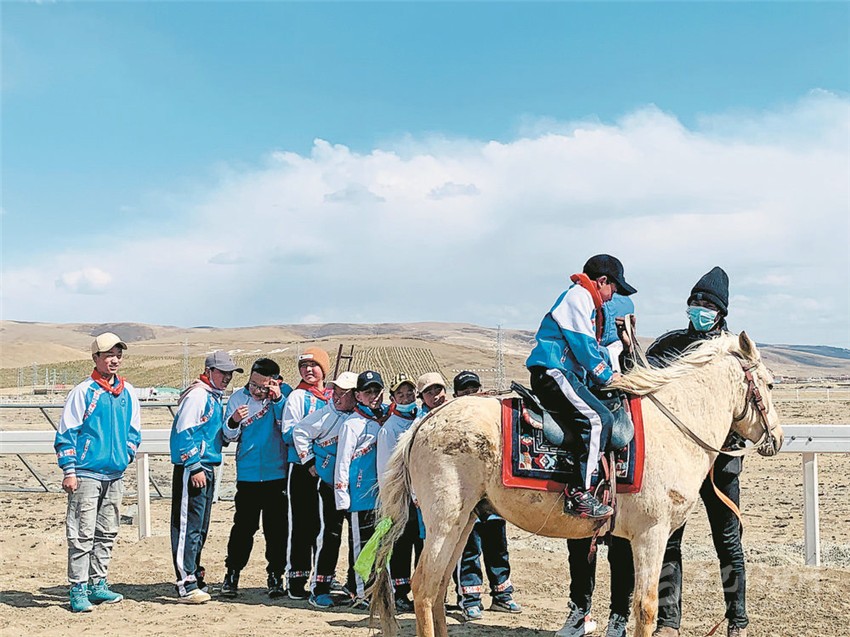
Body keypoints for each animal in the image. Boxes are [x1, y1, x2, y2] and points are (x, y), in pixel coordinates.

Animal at [369, 332, 783, 637]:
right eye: (769, 383)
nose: (777, 439)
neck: (674, 426)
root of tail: (424, 421)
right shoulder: (651, 534)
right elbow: (646, 607)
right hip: (444, 522)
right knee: (424, 588)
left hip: (465, 521)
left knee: (438, 588)